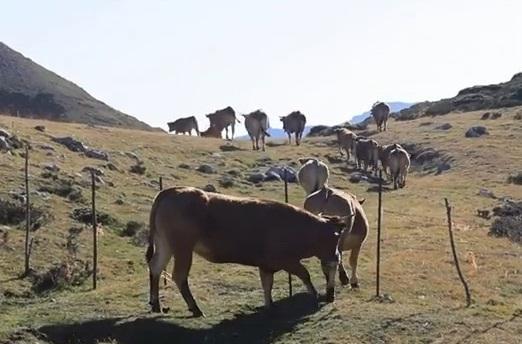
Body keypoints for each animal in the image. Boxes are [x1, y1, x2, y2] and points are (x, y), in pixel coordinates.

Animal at [146, 187, 350, 316]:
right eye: (335, 238)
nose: (336, 257)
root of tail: (171, 191)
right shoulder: (286, 260)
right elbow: (304, 274)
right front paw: (314, 295)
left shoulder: (266, 265)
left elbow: (267, 285)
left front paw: (269, 305)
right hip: (182, 249)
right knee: (179, 276)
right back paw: (195, 309)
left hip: (165, 244)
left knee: (155, 267)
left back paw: (156, 304)